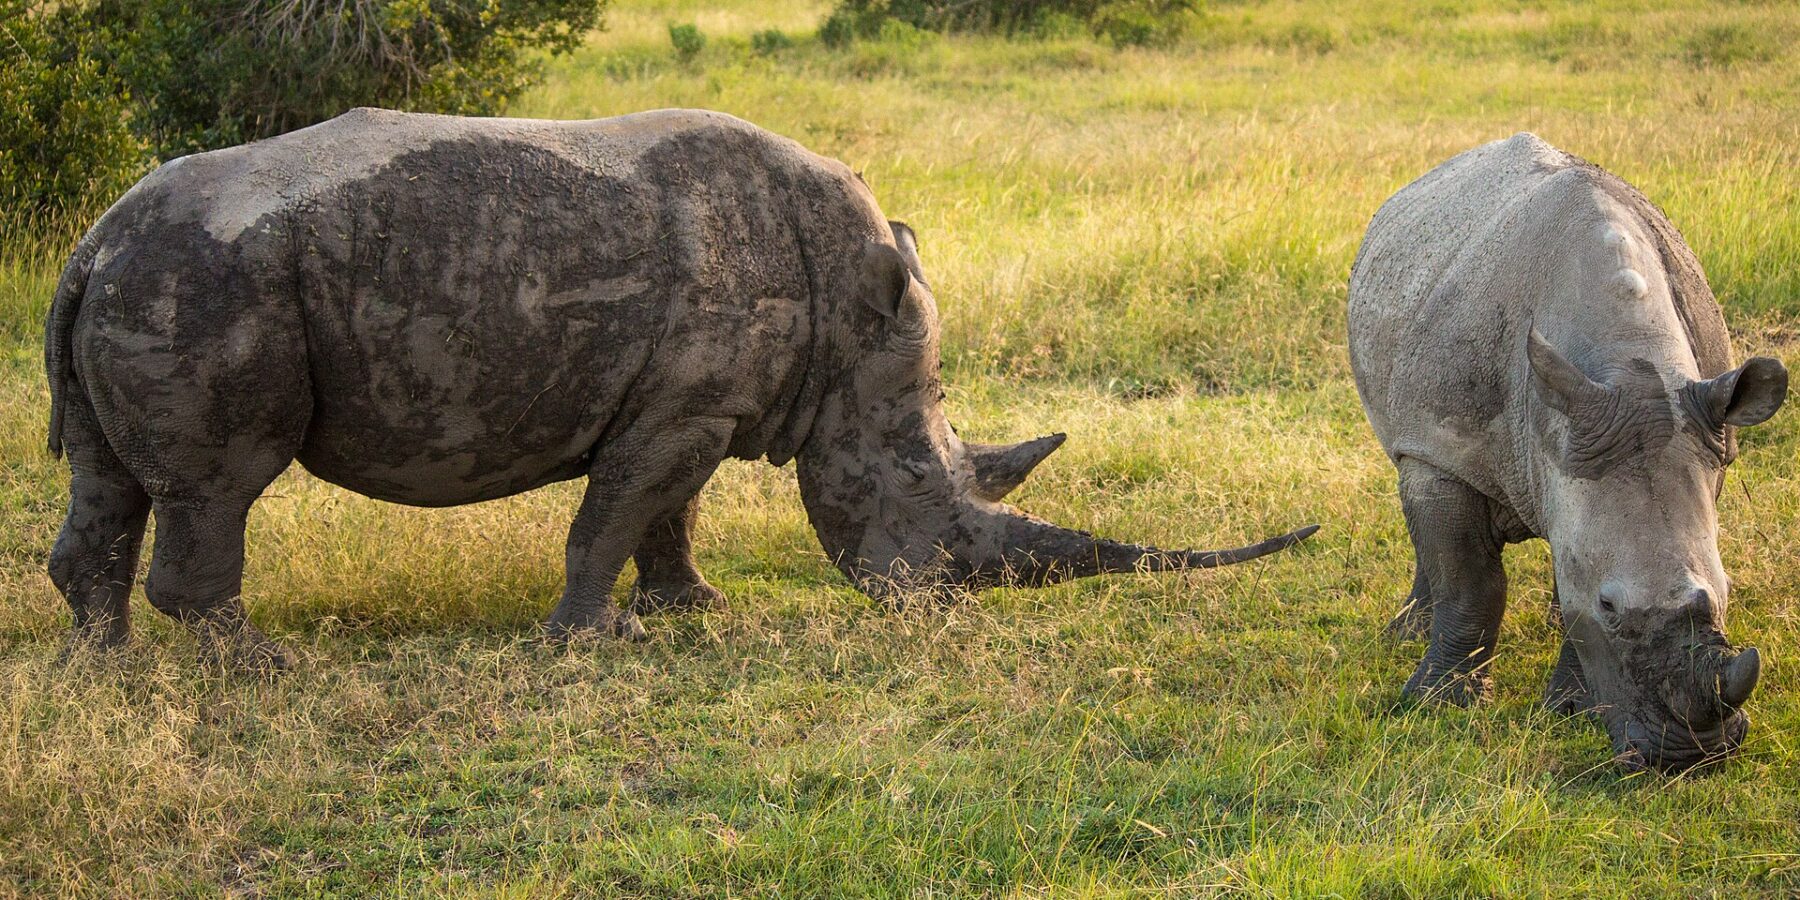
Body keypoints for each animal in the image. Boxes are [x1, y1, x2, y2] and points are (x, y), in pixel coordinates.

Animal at [44, 108, 1316, 670]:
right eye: (918, 486)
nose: (938, 606)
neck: (850, 310)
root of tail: (92, 241)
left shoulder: (699, 401)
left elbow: (667, 514)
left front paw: (690, 610)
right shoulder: (685, 406)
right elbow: (613, 515)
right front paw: (582, 641)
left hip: (151, 276)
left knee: (113, 480)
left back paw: (104, 665)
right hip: (205, 280)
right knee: (222, 484)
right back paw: (255, 667)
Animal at [1348, 133, 1787, 770]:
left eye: (1726, 593)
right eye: (1609, 606)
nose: (1690, 755)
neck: (1629, 365)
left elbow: (1568, 578)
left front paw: (1569, 712)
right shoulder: (1444, 448)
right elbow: (1470, 580)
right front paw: (1438, 705)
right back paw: (1406, 636)